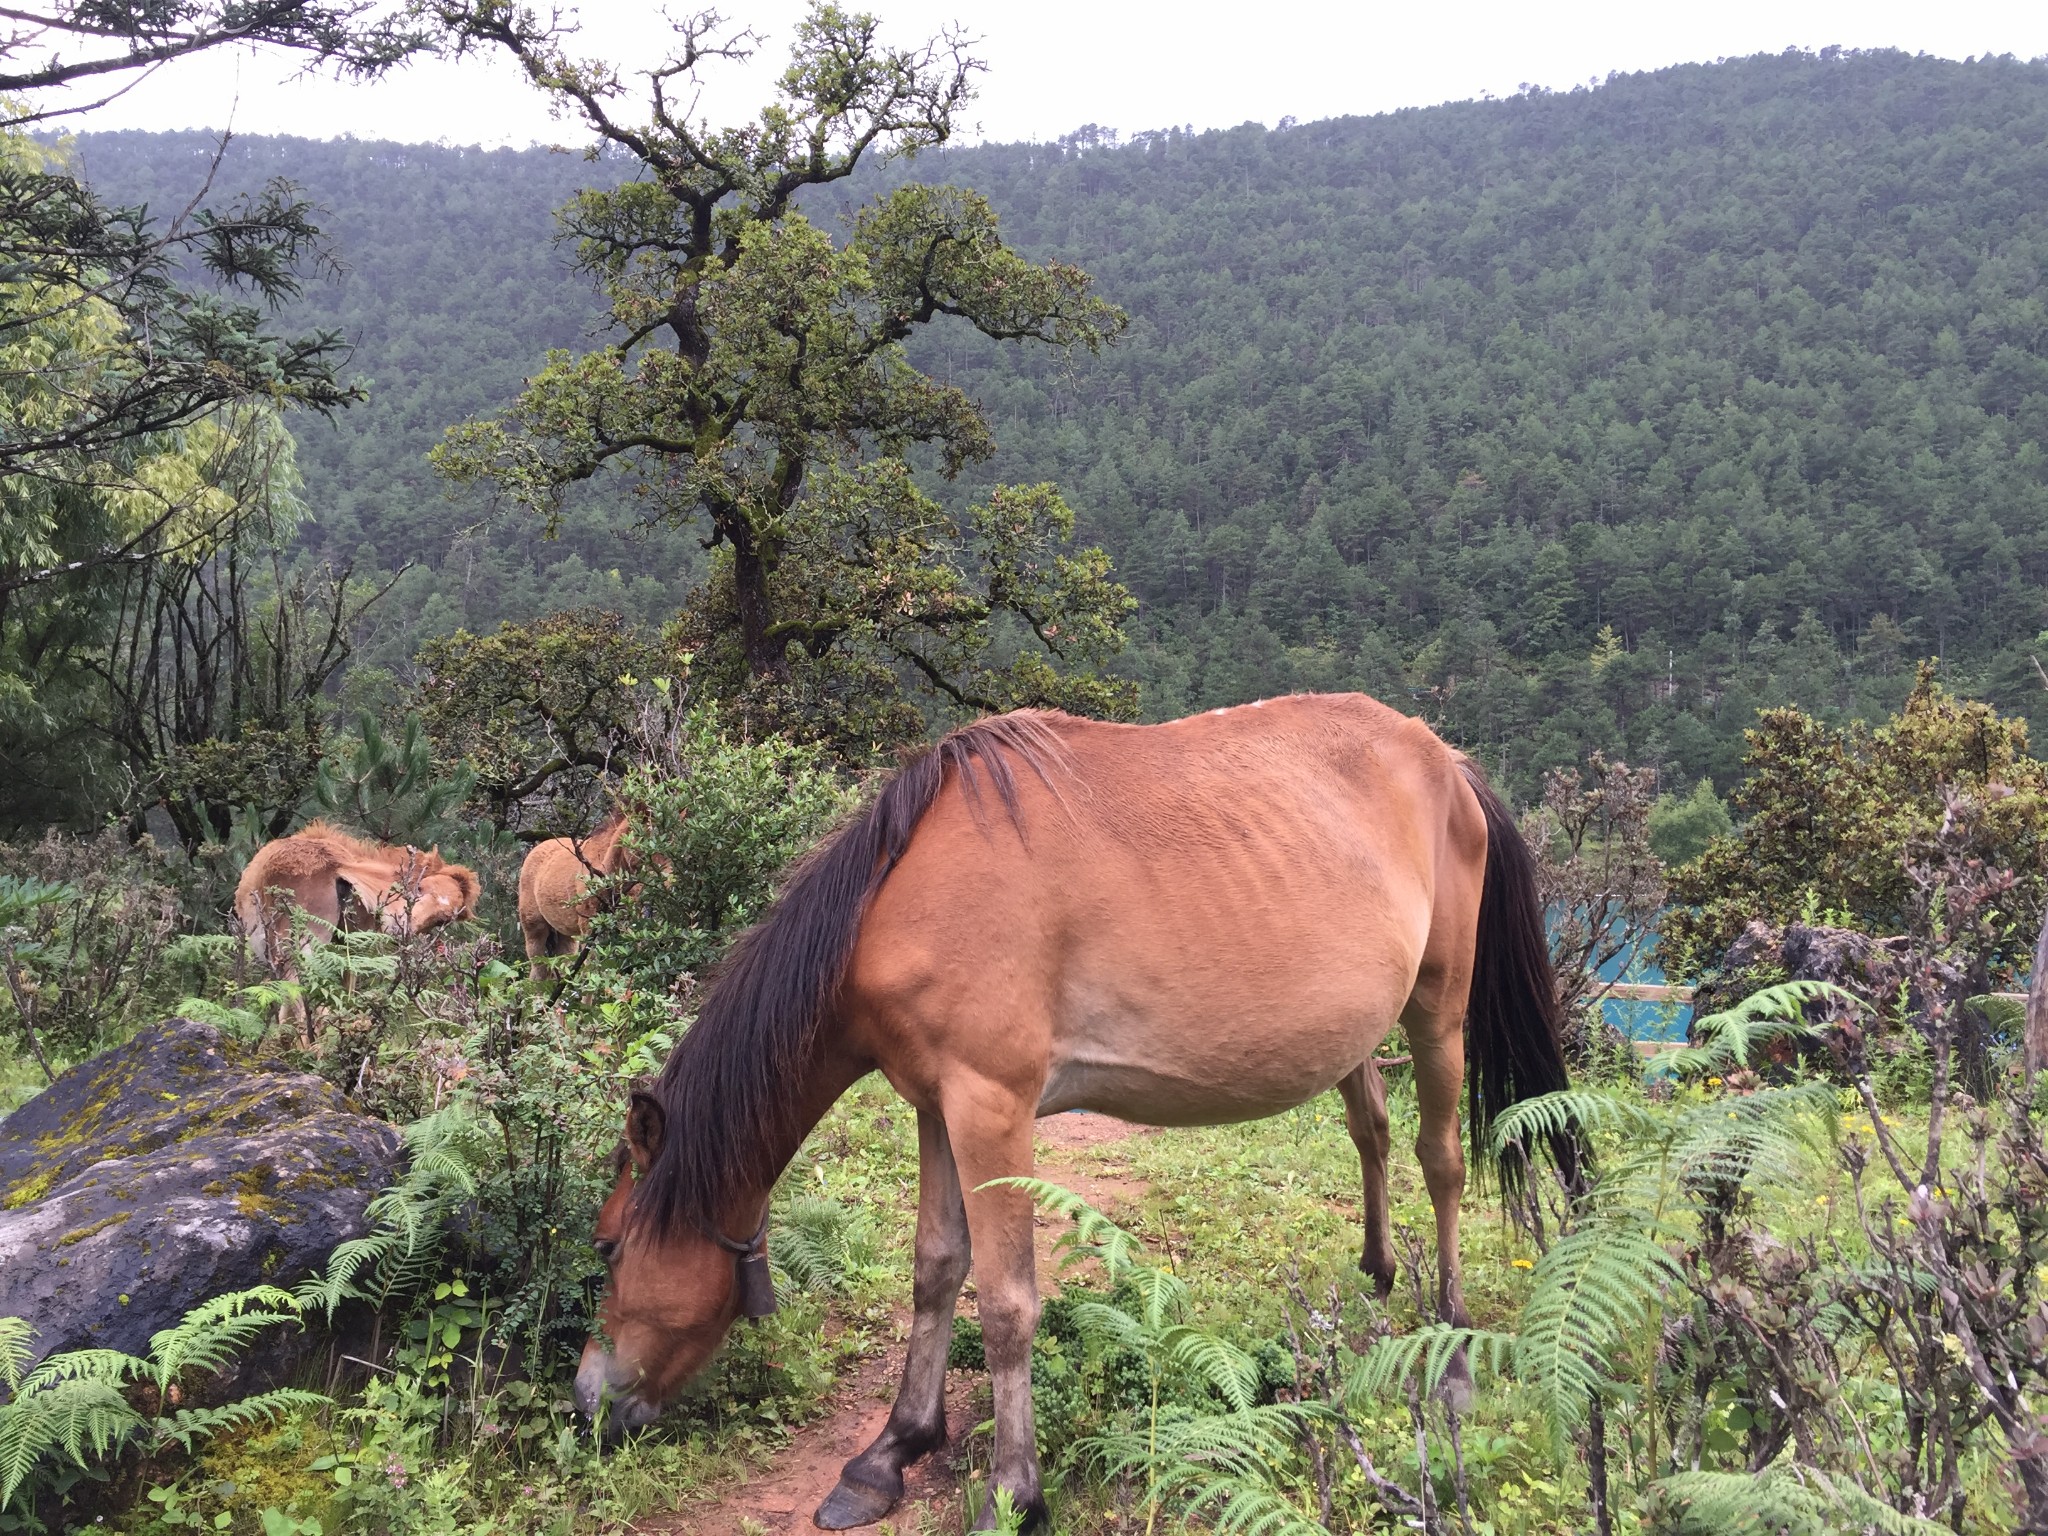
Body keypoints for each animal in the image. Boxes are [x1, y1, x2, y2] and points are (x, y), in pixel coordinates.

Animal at [569, 696, 1572, 1531]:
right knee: (1372, 1132)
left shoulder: (993, 1110)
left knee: (1441, 1162)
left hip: (1438, 1012)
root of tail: (1445, 760)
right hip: (1360, 1032)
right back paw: (1376, 1275)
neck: (897, 899)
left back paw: (1452, 1356)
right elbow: (936, 1269)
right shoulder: (938, 1108)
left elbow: (1007, 1303)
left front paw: (1015, 1492)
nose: (586, 1403)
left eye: (609, 1248)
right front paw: (892, 1451)